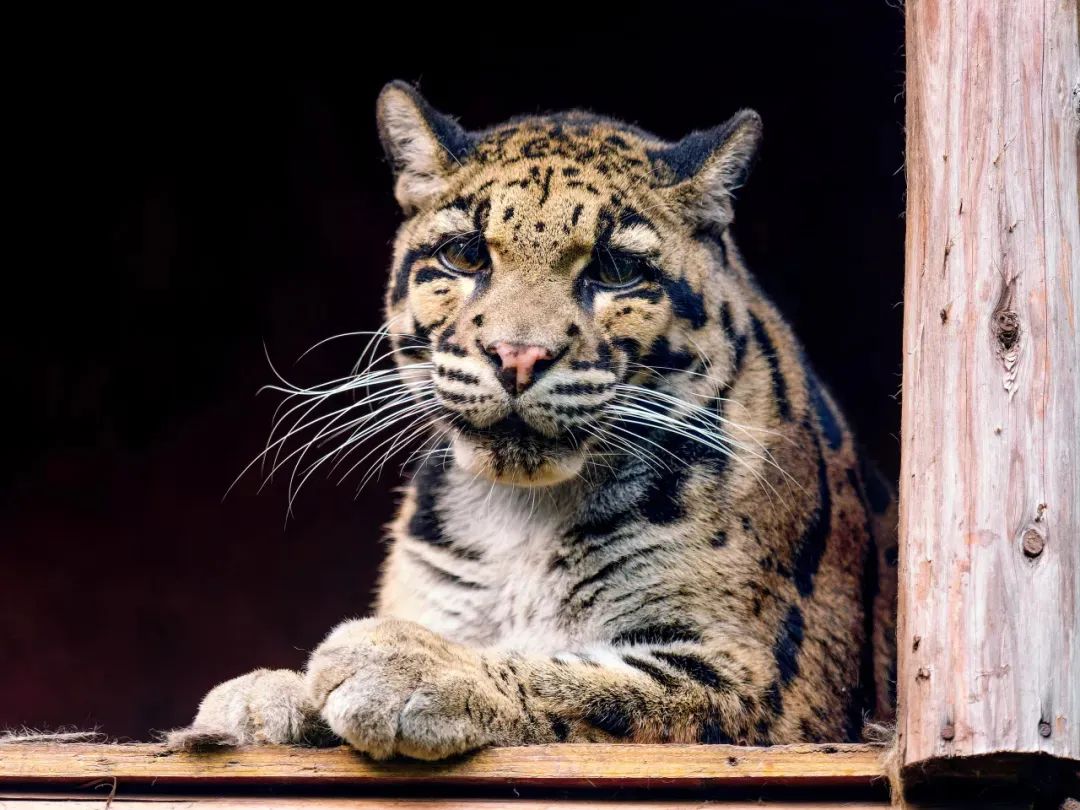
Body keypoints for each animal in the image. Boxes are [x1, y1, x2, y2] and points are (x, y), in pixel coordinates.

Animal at [168, 82, 894, 760]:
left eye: (616, 269)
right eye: (465, 255)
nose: (517, 355)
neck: (521, 518)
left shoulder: (771, 688)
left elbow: (599, 686)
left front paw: (404, 665)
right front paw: (265, 698)